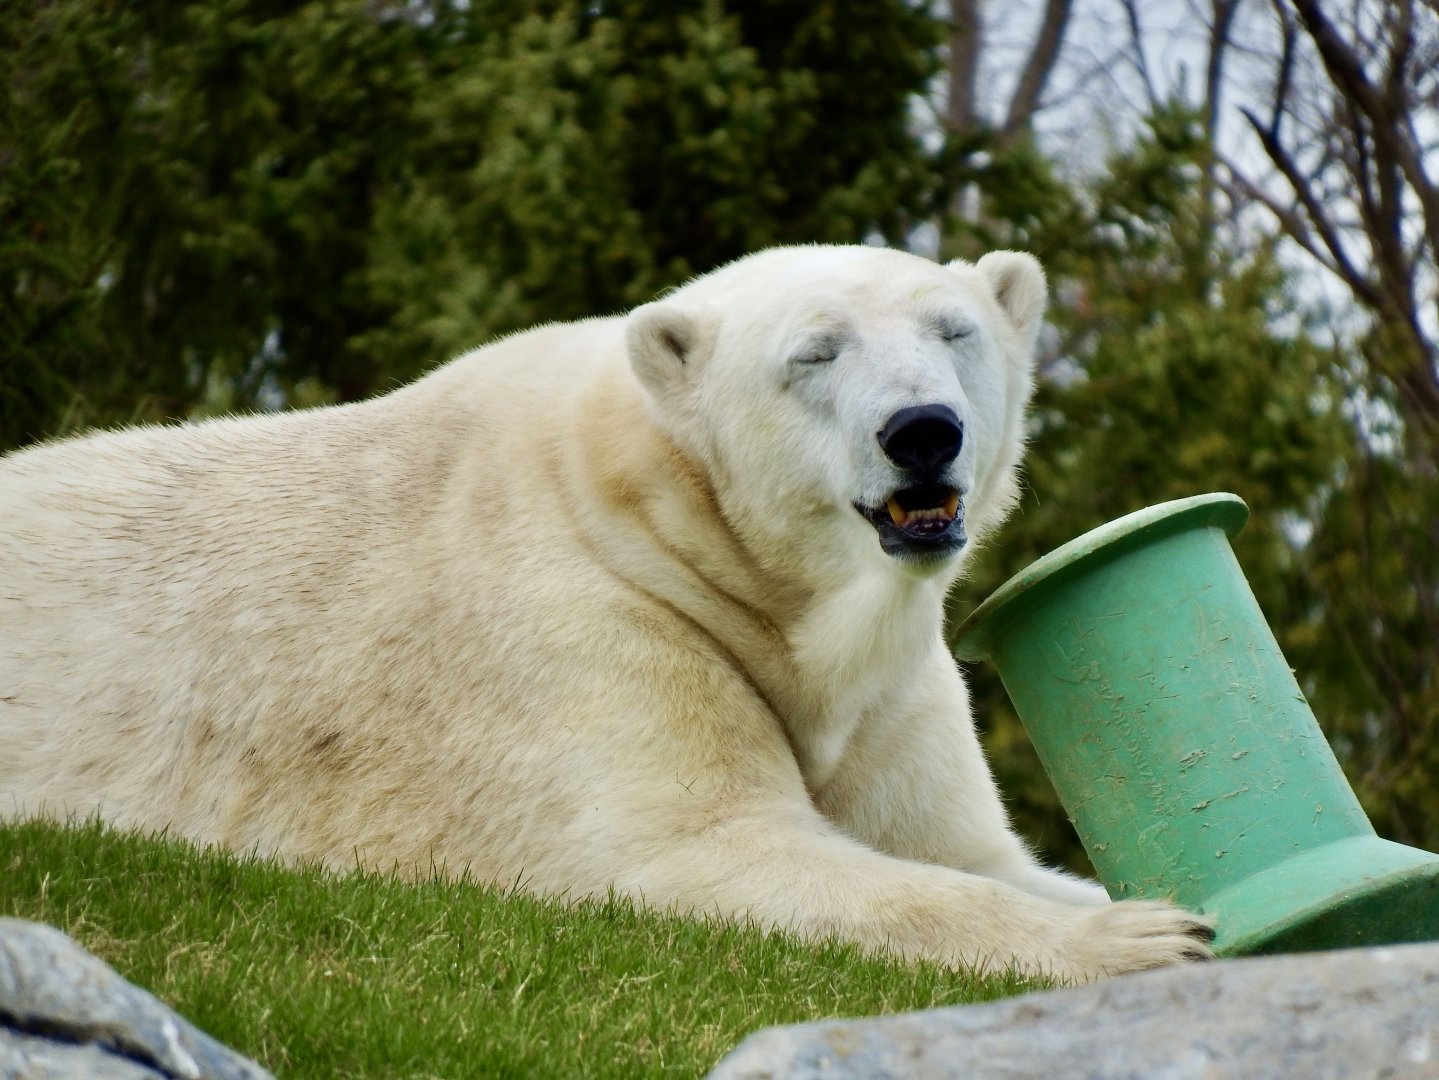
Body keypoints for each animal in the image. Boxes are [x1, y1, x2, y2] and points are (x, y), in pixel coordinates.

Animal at [0, 245, 1212, 982]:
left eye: (954, 330)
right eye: (813, 354)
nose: (922, 431)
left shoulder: (890, 691)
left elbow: (965, 847)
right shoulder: (588, 622)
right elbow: (704, 848)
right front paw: (1145, 937)